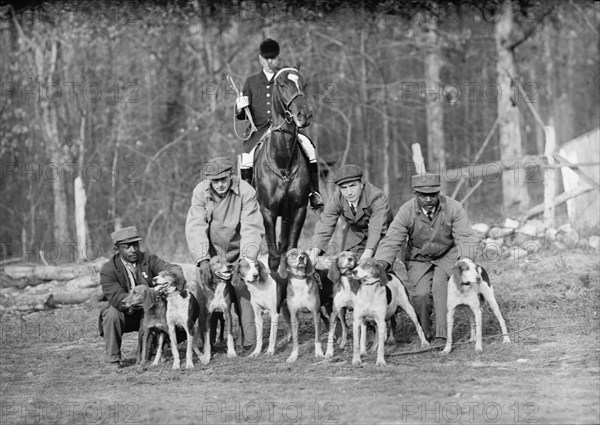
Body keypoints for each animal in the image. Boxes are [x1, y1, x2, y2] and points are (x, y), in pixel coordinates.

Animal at [253, 66, 314, 272]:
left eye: (304, 83)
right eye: (282, 84)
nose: (304, 115)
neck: (283, 164)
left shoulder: (298, 210)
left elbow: (290, 250)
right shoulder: (267, 212)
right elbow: (273, 258)